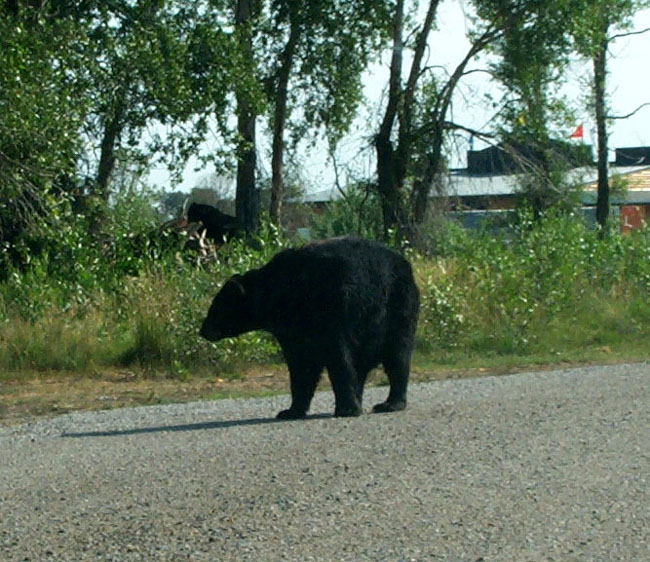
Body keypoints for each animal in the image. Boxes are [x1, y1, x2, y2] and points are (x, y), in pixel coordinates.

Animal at [199, 237, 420, 419]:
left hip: (397, 308)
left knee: (397, 356)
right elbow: (301, 364)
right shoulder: (292, 329)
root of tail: (405, 264)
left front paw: (347, 409)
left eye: (215, 308)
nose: (203, 330)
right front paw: (291, 410)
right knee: (365, 363)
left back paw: (390, 403)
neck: (281, 293)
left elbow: (337, 356)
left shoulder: (330, 307)